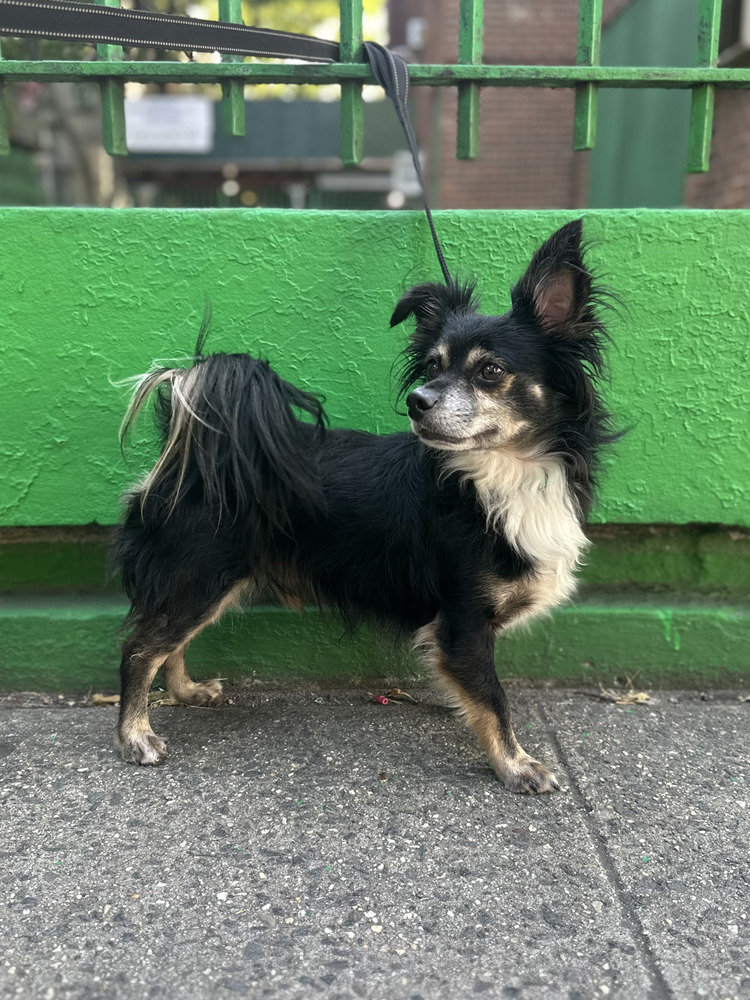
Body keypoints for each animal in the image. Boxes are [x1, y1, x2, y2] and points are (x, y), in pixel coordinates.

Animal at [113, 221, 616, 796]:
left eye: (490, 370)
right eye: (433, 366)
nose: (418, 400)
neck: (501, 476)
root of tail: (194, 451)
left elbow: (477, 691)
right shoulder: (463, 621)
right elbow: (494, 697)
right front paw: (515, 763)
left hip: (204, 583)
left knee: (167, 643)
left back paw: (186, 692)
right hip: (201, 577)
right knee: (140, 649)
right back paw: (135, 735)